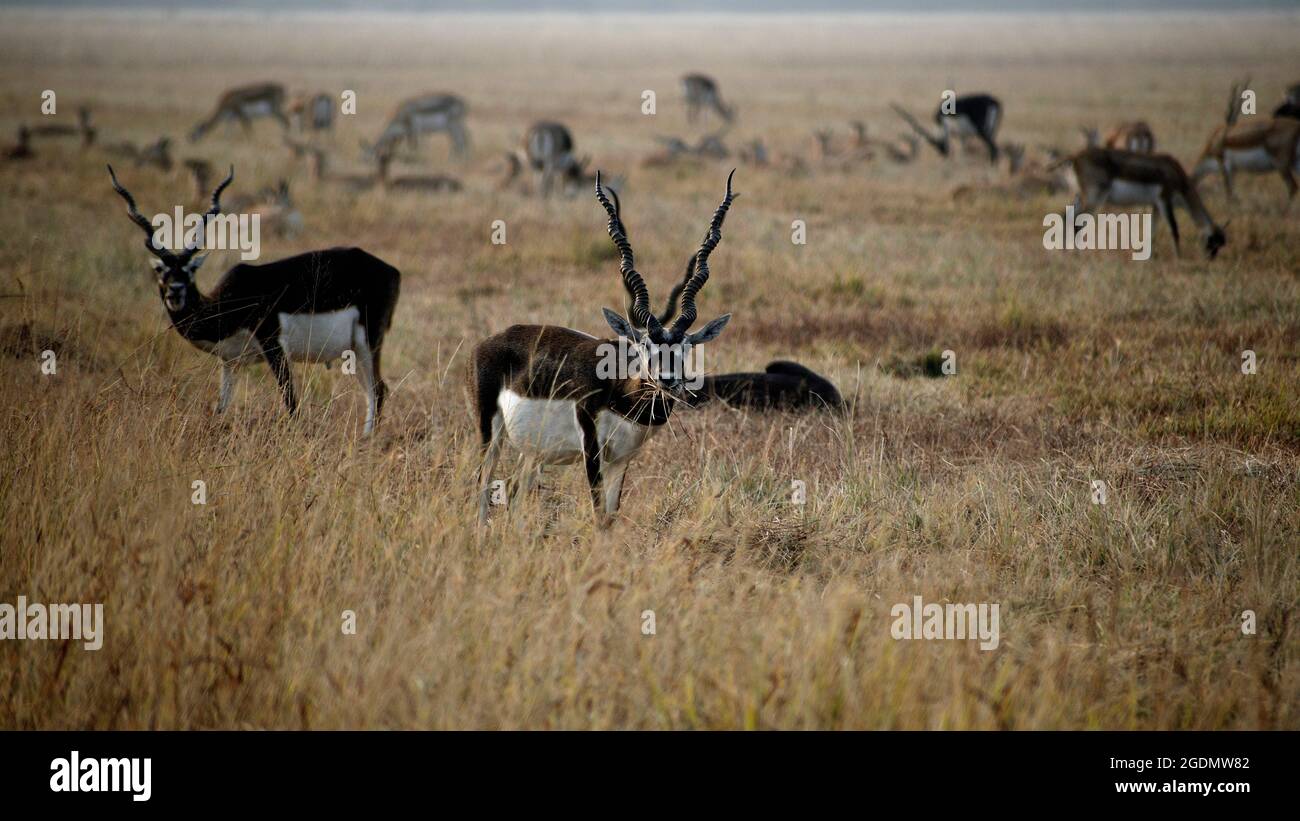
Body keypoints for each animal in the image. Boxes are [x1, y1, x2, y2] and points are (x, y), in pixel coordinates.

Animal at [107, 167, 400, 436]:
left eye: (189, 270)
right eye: (162, 271)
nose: (175, 292)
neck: (227, 304)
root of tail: (391, 270)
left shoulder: (274, 346)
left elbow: (291, 401)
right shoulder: (230, 363)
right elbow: (221, 406)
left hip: (367, 343)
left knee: (378, 389)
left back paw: (366, 441)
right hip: (355, 350)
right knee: (371, 391)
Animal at [475, 170, 743, 524]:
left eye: (685, 347)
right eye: (643, 346)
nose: (668, 381)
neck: (620, 390)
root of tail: (492, 340)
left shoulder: (622, 459)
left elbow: (611, 516)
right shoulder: (592, 449)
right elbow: (599, 513)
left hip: (532, 453)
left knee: (517, 493)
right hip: (490, 433)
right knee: (483, 485)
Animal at [1055, 146, 1227, 257]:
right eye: (1213, 242)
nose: (1210, 259)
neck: (1175, 172)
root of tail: (1074, 157)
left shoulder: (1155, 205)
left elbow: (1152, 232)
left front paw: (1150, 257)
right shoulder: (1164, 200)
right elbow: (1174, 229)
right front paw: (1179, 257)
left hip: (1079, 196)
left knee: (1065, 217)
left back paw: (1065, 252)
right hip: (1094, 199)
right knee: (1076, 223)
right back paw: (1077, 255)